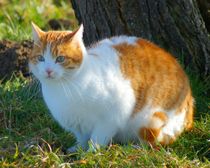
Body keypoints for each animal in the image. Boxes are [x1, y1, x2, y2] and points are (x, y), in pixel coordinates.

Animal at [29, 22, 194, 152]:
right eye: (40, 58)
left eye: (60, 59)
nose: (48, 70)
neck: (64, 88)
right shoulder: (76, 124)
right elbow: (82, 138)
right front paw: (78, 149)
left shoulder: (113, 114)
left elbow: (97, 138)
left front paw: (90, 154)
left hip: (149, 120)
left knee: (151, 140)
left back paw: (135, 148)